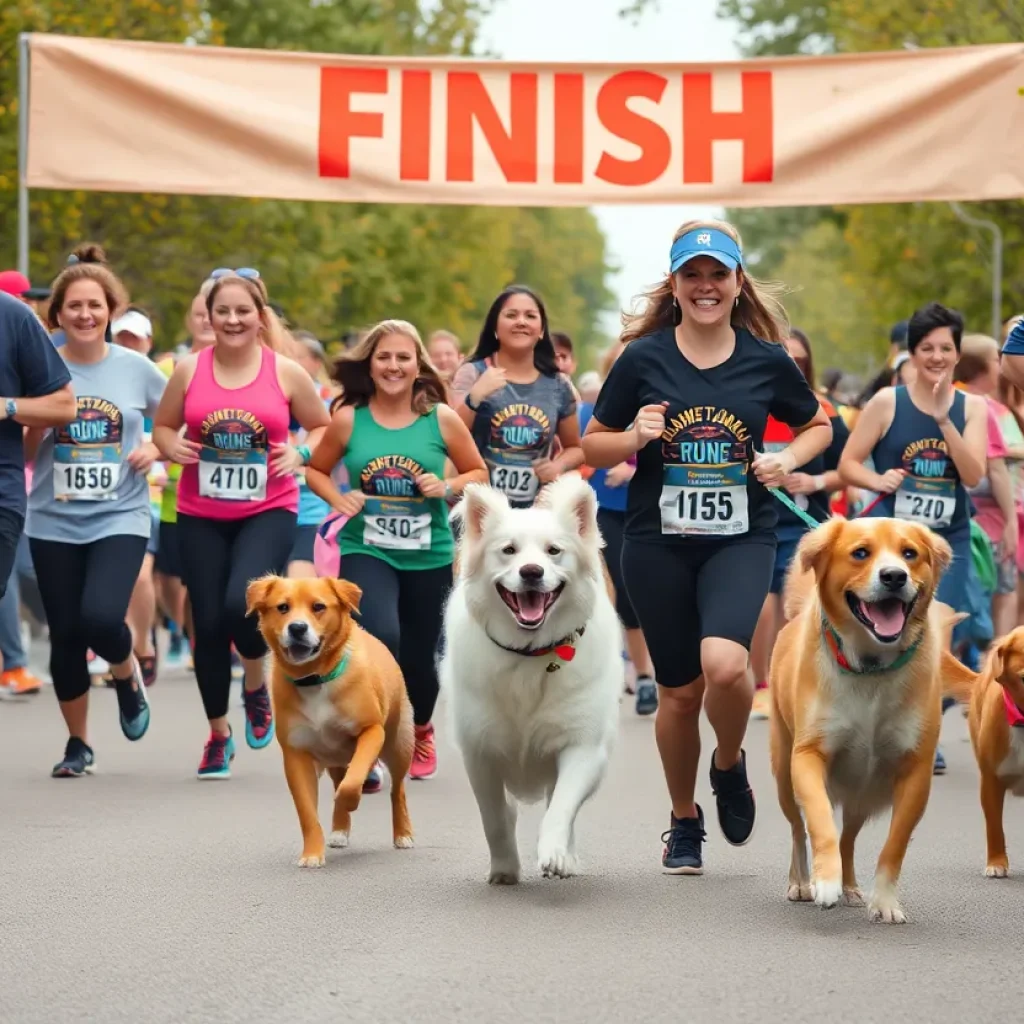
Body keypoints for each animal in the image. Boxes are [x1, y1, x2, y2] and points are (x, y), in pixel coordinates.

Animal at [245, 577, 413, 864]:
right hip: (335, 758)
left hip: (397, 744)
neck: (315, 678)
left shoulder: (371, 731)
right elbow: (307, 813)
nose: (297, 627)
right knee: (339, 779)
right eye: (283, 607)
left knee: (397, 789)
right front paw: (312, 854)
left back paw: (403, 834)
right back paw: (340, 830)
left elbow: (352, 783)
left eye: (318, 606)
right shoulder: (296, 754)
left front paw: (350, 801)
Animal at [442, 471, 622, 880]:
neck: (530, 653)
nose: (531, 572)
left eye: (553, 551)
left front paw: (555, 854)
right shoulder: (480, 754)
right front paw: (505, 868)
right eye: (509, 551)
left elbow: (561, 808)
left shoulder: (581, 747)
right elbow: (494, 818)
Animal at [770, 516, 954, 925]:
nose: (894, 576)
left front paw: (883, 900)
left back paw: (852, 885)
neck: (871, 668)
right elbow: (819, 821)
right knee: (796, 828)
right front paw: (825, 881)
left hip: (863, 793)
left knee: (849, 838)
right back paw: (801, 881)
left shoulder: (915, 772)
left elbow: (894, 845)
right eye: (860, 553)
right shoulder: (808, 756)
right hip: (784, 773)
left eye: (909, 554)